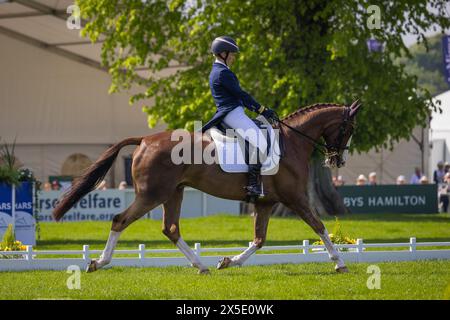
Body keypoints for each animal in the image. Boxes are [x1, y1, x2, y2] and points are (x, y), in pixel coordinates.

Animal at [52, 101, 362, 274]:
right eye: (348, 129)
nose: (338, 160)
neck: (292, 141)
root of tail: (144, 140)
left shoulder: (265, 203)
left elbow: (259, 240)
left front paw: (228, 261)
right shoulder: (296, 198)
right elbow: (319, 226)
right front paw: (340, 263)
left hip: (173, 193)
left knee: (171, 228)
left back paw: (201, 266)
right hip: (152, 195)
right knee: (120, 220)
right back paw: (98, 262)